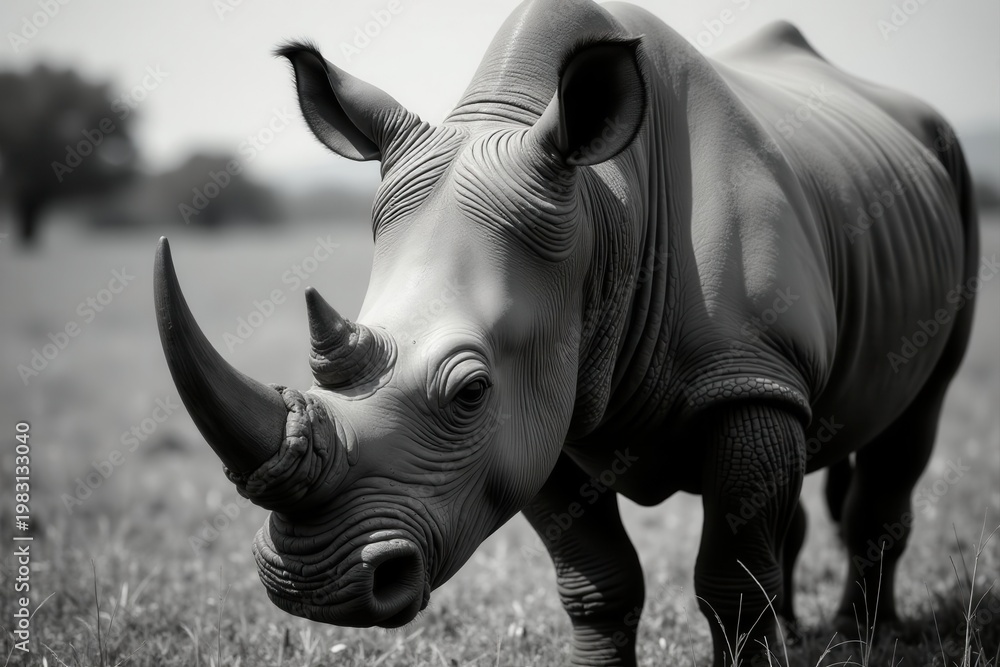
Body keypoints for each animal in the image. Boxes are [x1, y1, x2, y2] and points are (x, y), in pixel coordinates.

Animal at [154, 0, 978, 664]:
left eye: (470, 391)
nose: (313, 585)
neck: (601, 212)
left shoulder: (749, 373)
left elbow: (732, 579)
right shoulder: (541, 405)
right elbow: (598, 580)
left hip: (951, 177)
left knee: (913, 420)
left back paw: (862, 636)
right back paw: (808, 635)